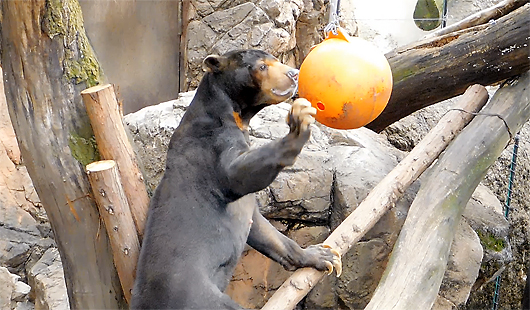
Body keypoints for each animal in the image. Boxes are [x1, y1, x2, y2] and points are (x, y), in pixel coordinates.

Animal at [130, 49, 340, 308]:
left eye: (276, 60)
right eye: (261, 66)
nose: (294, 73)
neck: (235, 116)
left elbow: (267, 233)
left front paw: (324, 255)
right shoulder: (213, 148)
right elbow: (236, 175)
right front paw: (298, 125)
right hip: (197, 297)